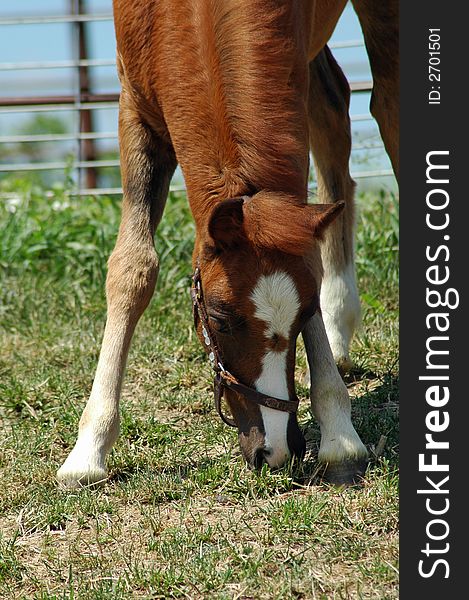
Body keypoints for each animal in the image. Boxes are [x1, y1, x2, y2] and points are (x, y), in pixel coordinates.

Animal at [56, 0, 396, 488]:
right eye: (218, 318)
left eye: (303, 314)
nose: (276, 452)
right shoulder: (135, 105)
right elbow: (132, 268)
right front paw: (88, 452)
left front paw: (340, 438)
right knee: (333, 107)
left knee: (386, 107)